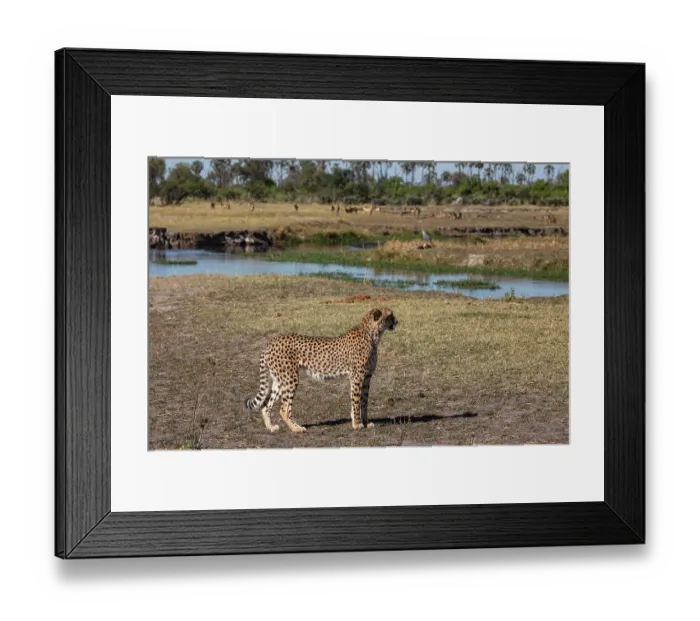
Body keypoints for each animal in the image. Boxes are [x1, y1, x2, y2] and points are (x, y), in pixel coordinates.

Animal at [244, 308, 399, 433]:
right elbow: (356, 401)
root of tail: (271, 342)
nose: (397, 321)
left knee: (266, 406)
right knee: (284, 408)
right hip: (290, 379)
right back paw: (296, 428)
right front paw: (357, 425)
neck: (372, 334)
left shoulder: (367, 377)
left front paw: (365, 423)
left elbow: (364, 401)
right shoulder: (357, 376)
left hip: (279, 380)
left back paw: (271, 427)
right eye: (390, 315)